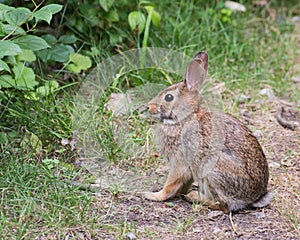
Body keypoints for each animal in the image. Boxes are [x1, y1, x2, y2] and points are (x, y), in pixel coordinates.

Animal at [145, 51, 272, 212]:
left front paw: (153, 195)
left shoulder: (180, 160)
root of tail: (254, 198)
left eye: (168, 97)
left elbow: (171, 184)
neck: (185, 118)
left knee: (223, 205)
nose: (149, 107)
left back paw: (194, 197)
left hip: (212, 169)